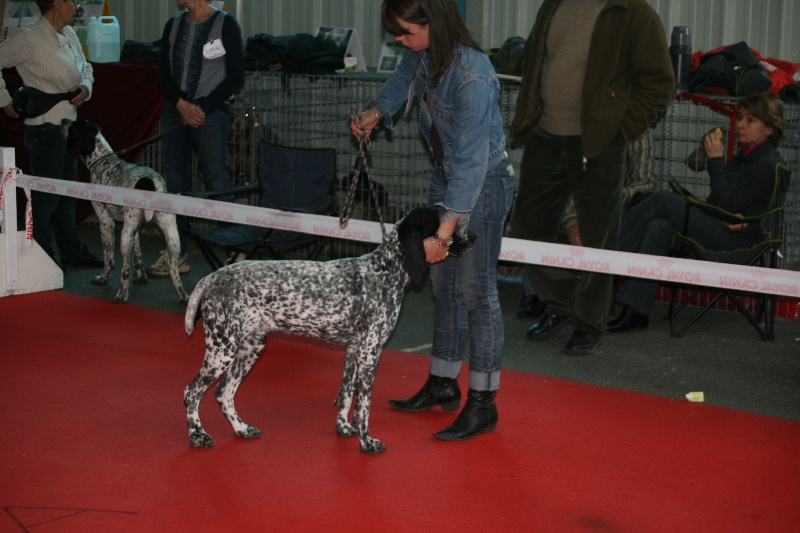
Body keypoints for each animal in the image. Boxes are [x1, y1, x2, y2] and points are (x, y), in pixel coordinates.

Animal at [62, 119, 188, 304]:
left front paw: (103, 278)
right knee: (174, 269)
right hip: (171, 236)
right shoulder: (135, 229)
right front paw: (141, 278)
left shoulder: (106, 222)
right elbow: (138, 256)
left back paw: (121, 295)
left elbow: (109, 258)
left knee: (125, 268)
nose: (63, 121)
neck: (102, 161)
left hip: (124, 235)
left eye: (74, 126)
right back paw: (184, 296)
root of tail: (151, 184)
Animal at [182, 208, 476, 454]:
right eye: (448, 228)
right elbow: (363, 407)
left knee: (223, 392)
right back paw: (197, 435)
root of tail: (213, 277)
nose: (472, 237)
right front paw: (367, 442)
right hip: (222, 349)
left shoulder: (354, 350)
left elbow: (346, 395)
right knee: (192, 392)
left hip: (249, 347)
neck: (386, 270)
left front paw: (344, 428)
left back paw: (241, 429)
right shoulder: (369, 353)